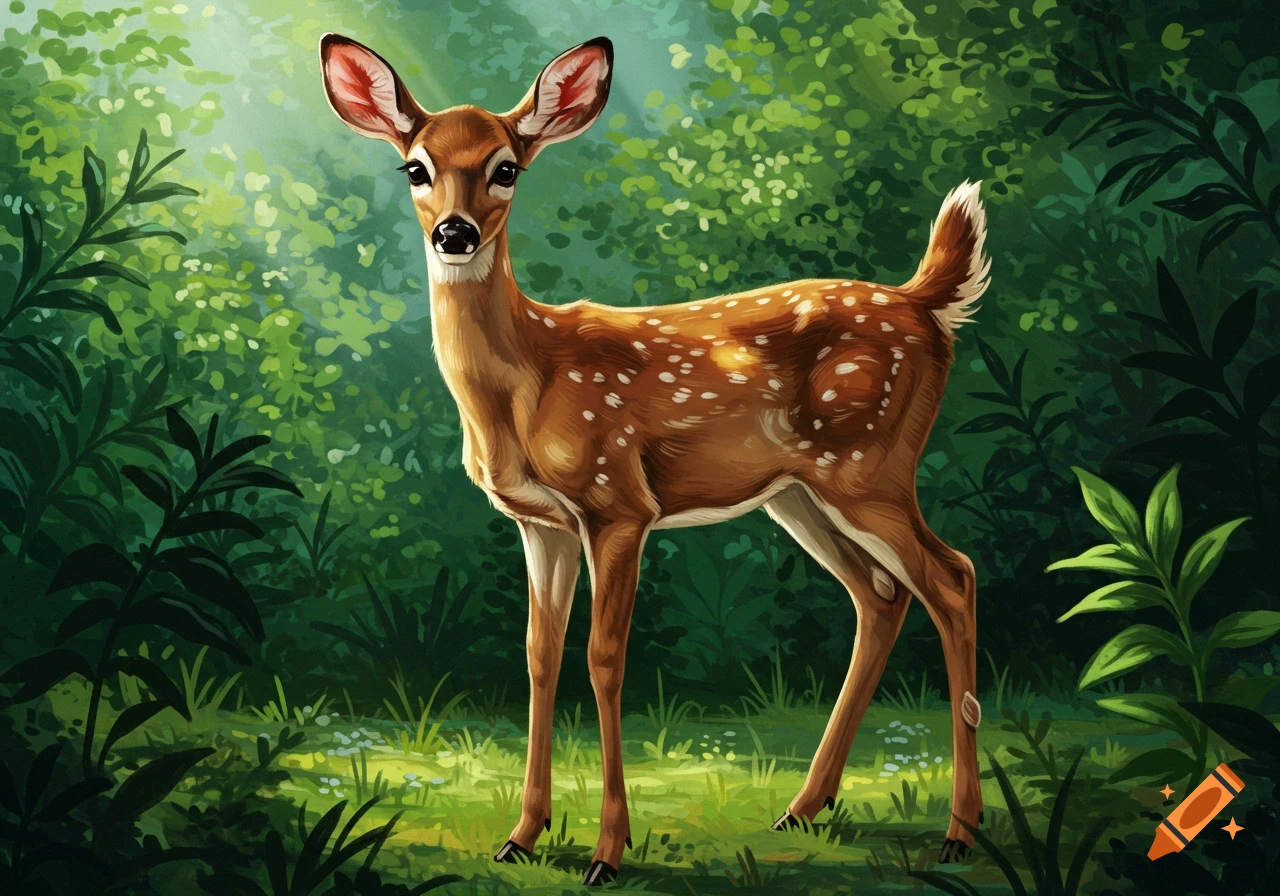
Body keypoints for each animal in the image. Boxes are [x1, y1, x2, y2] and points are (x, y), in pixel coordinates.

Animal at [320, 33, 990, 885]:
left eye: (506, 167)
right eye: (416, 168)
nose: (455, 234)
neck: (526, 385)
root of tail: (924, 303)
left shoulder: (618, 503)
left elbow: (604, 659)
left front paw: (607, 851)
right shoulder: (540, 524)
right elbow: (539, 657)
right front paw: (521, 835)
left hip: (870, 465)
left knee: (953, 577)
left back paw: (959, 831)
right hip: (799, 494)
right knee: (881, 595)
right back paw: (805, 808)